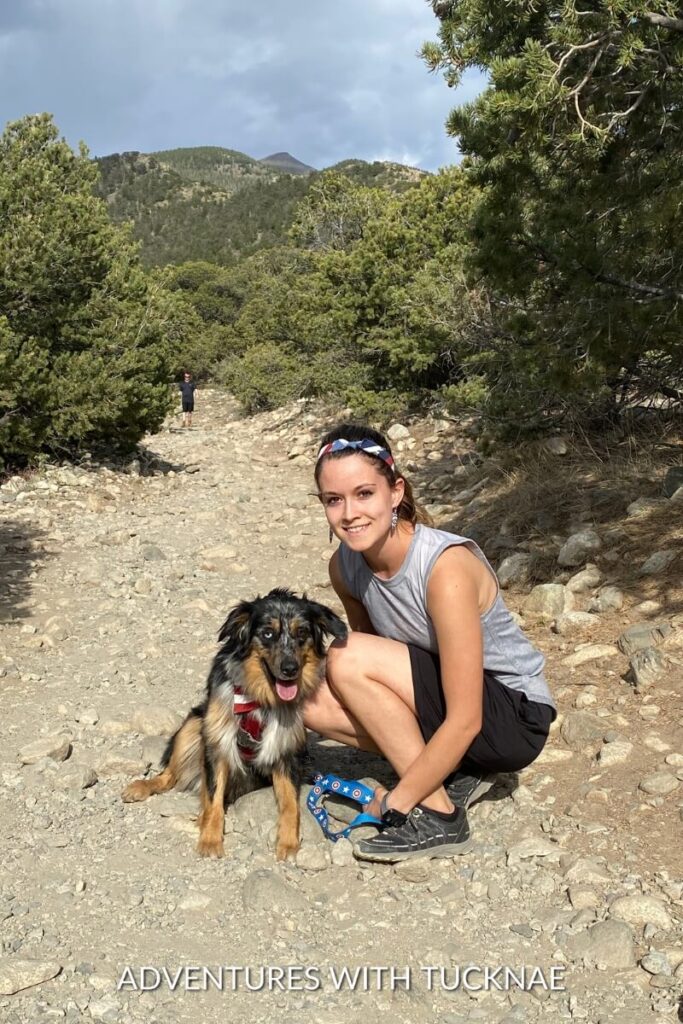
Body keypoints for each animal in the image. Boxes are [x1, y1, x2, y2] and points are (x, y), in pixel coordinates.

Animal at [120, 589, 348, 860]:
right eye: (267, 633)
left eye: (302, 632)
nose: (290, 669)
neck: (261, 699)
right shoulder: (217, 743)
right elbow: (214, 798)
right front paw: (210, 839)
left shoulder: (287, 752)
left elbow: (290, 804)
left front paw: (289, 843)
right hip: (193, 726)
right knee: (169, 776)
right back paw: (142, 787)